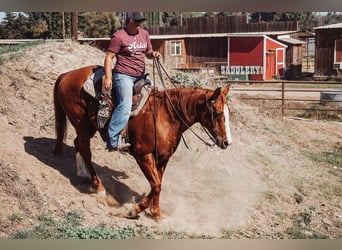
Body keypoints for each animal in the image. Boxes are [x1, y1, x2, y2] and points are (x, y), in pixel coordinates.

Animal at [53, 64, 232, 219]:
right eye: (217, 112)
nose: (227, 142)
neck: (166, 116)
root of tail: (66, 75)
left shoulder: (163, 158)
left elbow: (158, 184)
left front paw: (156, 213)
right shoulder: (143, 155)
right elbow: (156, 185)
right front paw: (135, 210)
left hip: (88, 126)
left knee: (78, 143)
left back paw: (83, 174)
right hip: (82, 123)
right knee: (85, 149)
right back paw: (99, 188)